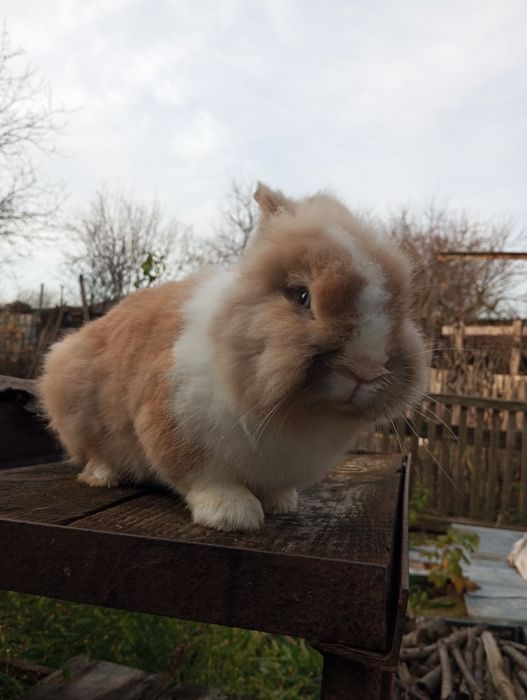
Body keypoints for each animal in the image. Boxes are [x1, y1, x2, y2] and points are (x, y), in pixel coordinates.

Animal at [39, 183, 427, 532]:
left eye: (400, 309)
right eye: (302, 297)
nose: (365, 369)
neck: (297, 414)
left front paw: (282, 503)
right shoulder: (173, 424)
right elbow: (206, 479)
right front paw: (233, 515)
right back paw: (104, 476)